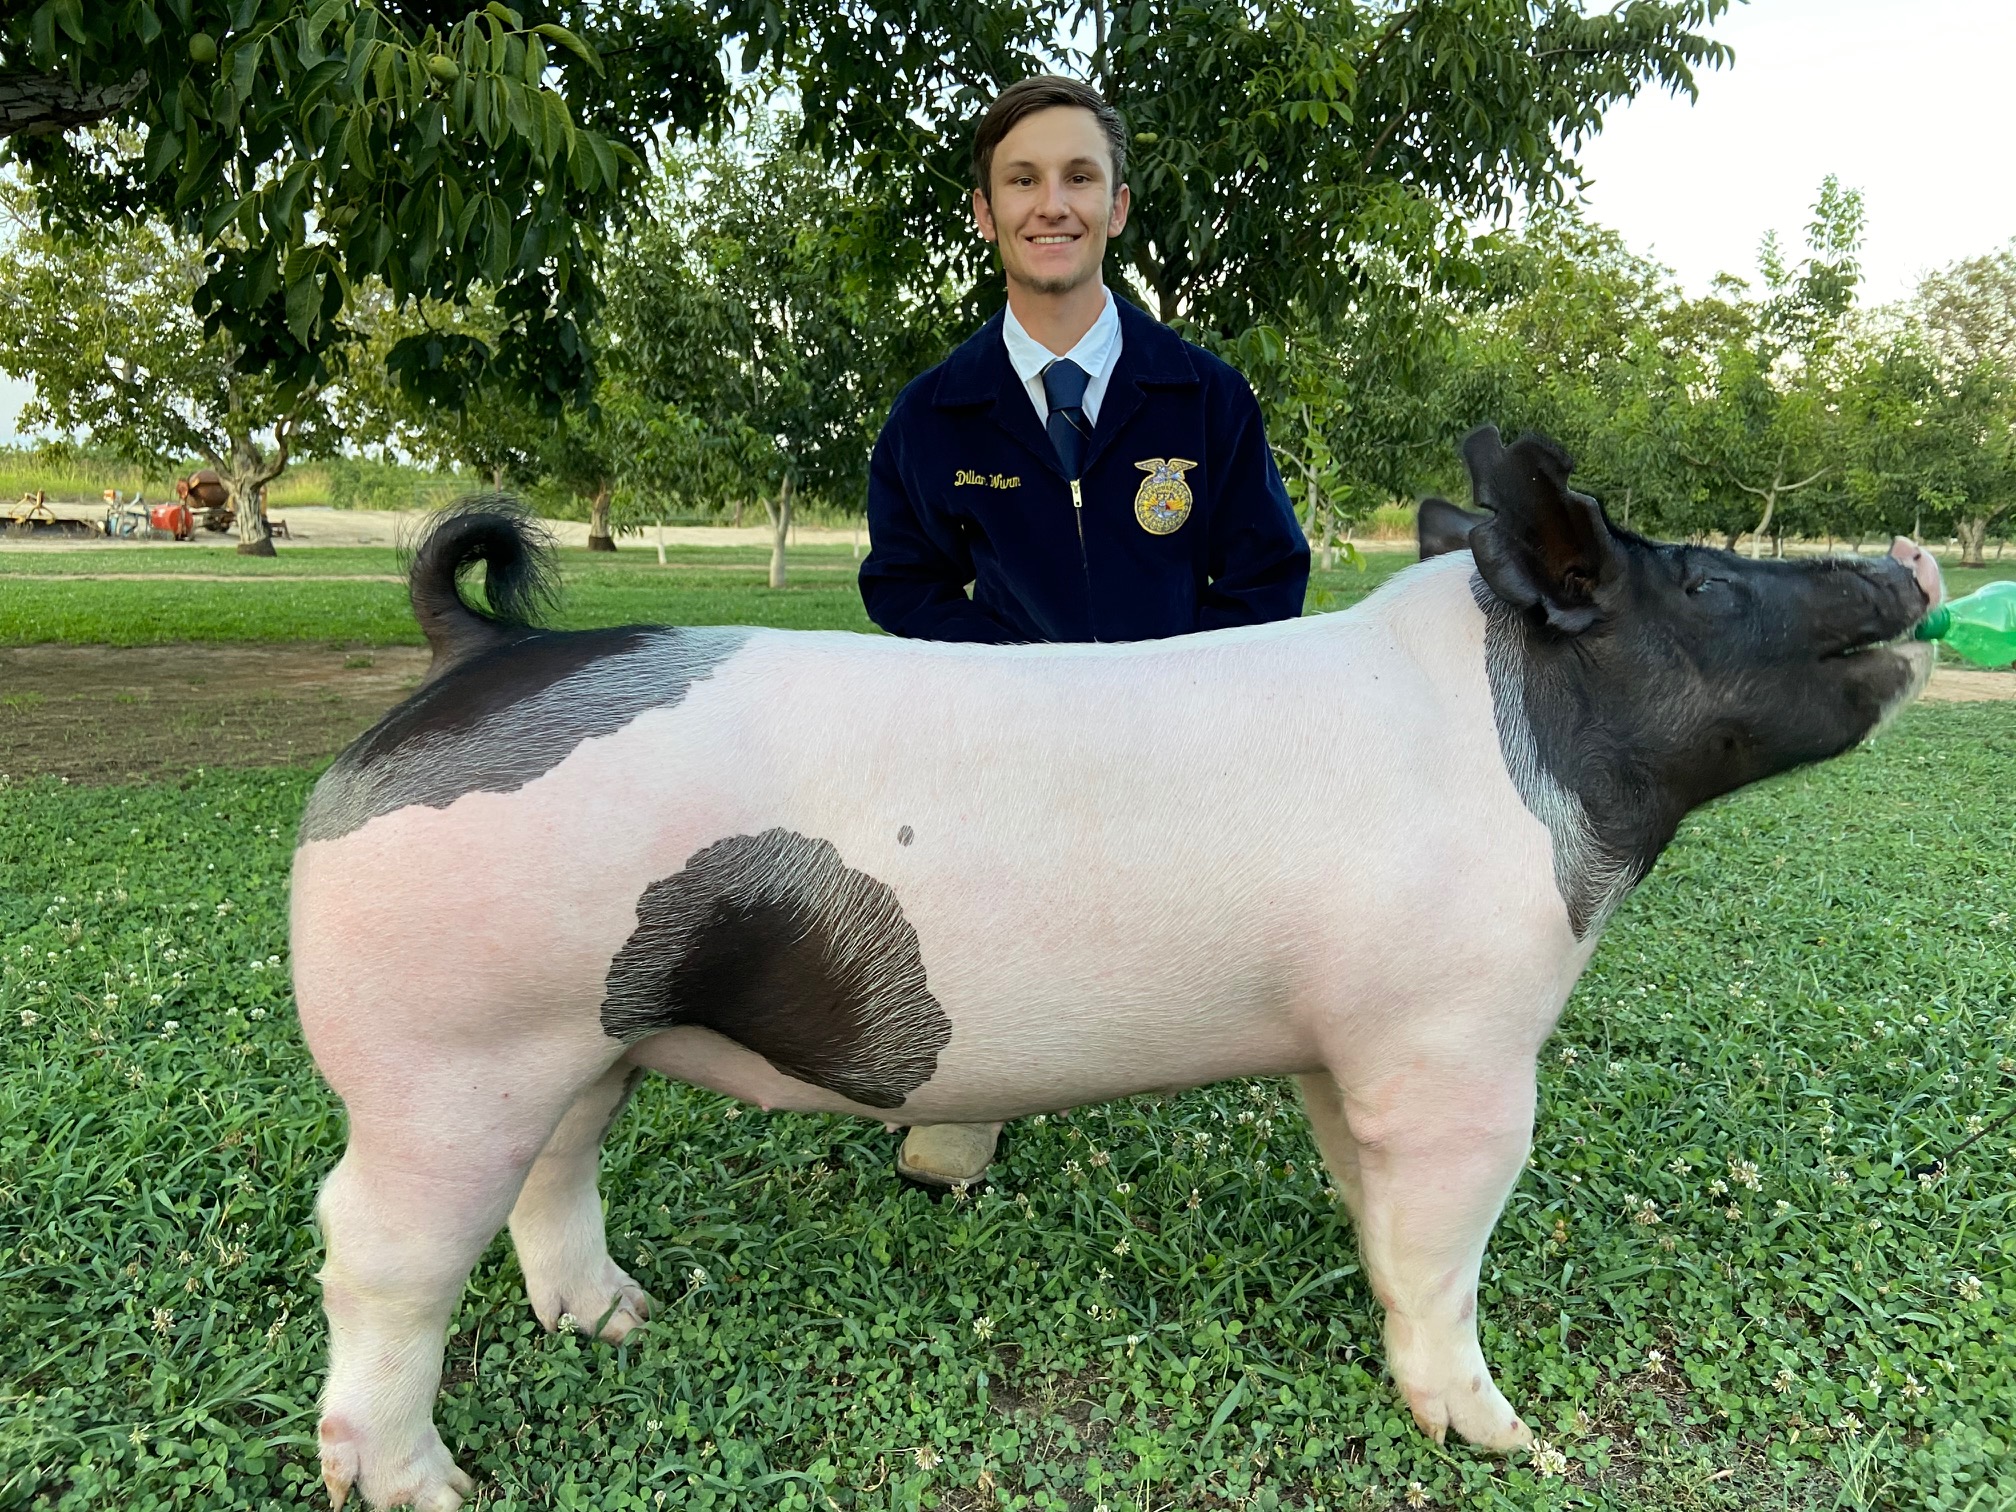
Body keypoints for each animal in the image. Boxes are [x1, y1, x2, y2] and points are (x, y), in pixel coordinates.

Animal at [291, 427, 1942, 1509]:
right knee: (374, 1247)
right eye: (1699, 580)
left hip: (577, 1038)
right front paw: (1508, 1442)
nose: (1906, 562)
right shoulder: (1459, 1045)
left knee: (555, 1173)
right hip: (446, 1054)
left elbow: (1378, 1218)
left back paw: (620, 1321)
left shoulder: (1349, 1048)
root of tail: (470, 655)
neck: (1517, 751)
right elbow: (1448, 1246)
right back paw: (428, 1487)